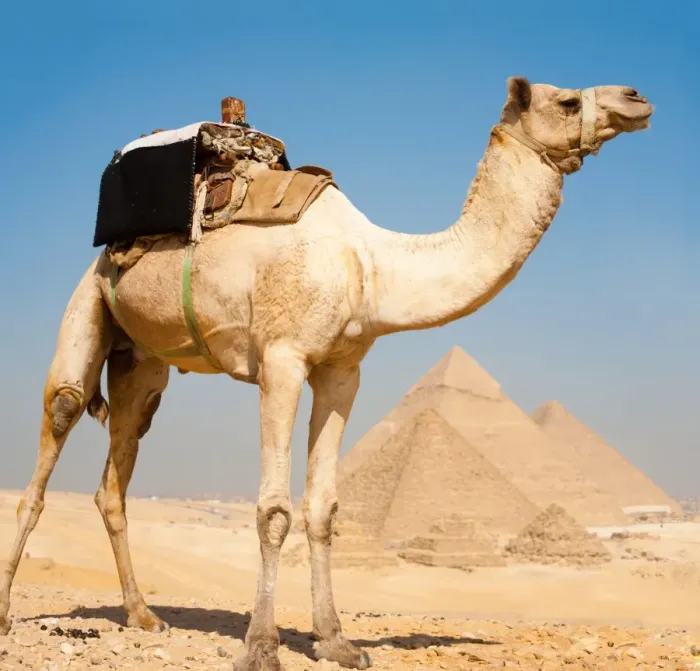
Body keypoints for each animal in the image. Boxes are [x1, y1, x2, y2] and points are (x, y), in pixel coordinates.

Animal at [0, 76, 653, 670]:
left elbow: (322, 508)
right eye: (563, 100)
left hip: (142, 361)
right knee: (56, 427)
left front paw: (336, 641)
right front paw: (262, 646)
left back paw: (142, 614)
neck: (371, 265)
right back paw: (8, 612)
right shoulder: (282, 360)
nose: (636, 98)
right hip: (88, 302)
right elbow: (273, 509)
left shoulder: (342, 371)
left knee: (118, 468)